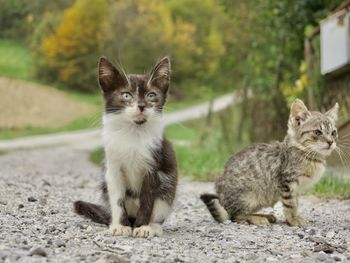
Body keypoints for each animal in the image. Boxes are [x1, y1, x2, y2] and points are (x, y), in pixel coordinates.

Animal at [74, 56, 178, 238]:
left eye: (152, 95)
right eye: (126, 95)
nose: (142, 105)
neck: (133, 133)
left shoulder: (155, 165)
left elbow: (147, 199)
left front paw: (142, 227)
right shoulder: (112, 166)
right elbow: (117, 199)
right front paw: (120, 226)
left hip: (168, 187)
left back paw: (153, 226)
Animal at [201, 99, 338, 227]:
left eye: (333, 133)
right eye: (317, 132)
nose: (331, 142)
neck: (309, 155)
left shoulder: (297, 188)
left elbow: (296, 202)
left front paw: (293, 217)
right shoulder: (287, 182)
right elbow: (290, 204)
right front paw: (293, 219)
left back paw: (265, 216)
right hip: (248, 196)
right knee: (235, 216)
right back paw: (257, 218)